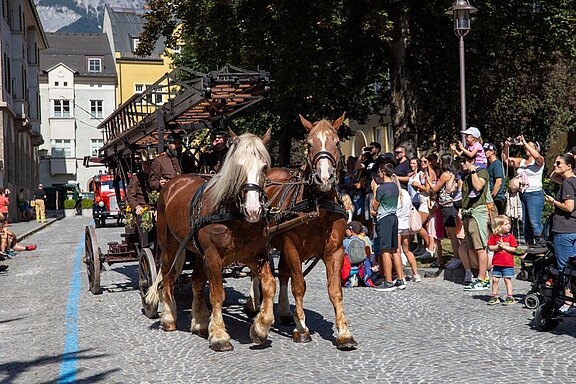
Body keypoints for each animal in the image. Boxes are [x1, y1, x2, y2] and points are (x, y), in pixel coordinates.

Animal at [147, 130, 276, 352]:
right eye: (238, 166)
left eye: (264, 167)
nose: (253, 210)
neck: (234, 217)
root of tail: (173, 183)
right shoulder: (214, 258)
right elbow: (217, 295)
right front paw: (218, 335)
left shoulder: (256, 255)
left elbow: (269, 285)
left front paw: (260, 327)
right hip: (170, 248)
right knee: (168, 278)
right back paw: (169, 318)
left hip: (198, 252)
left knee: (196, 282)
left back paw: (199, 322)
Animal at [251, 112, 358, 350]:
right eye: (309, 144)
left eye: (337, 142)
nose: (324, 178)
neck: (318, 207)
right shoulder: (292, 247)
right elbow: (299, 285)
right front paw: (302, 328)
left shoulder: (335, 251)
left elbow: (335, 290)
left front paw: (344, 333)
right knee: (258, 271)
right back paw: (255, 304)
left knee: (282, 274)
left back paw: (283, 311)